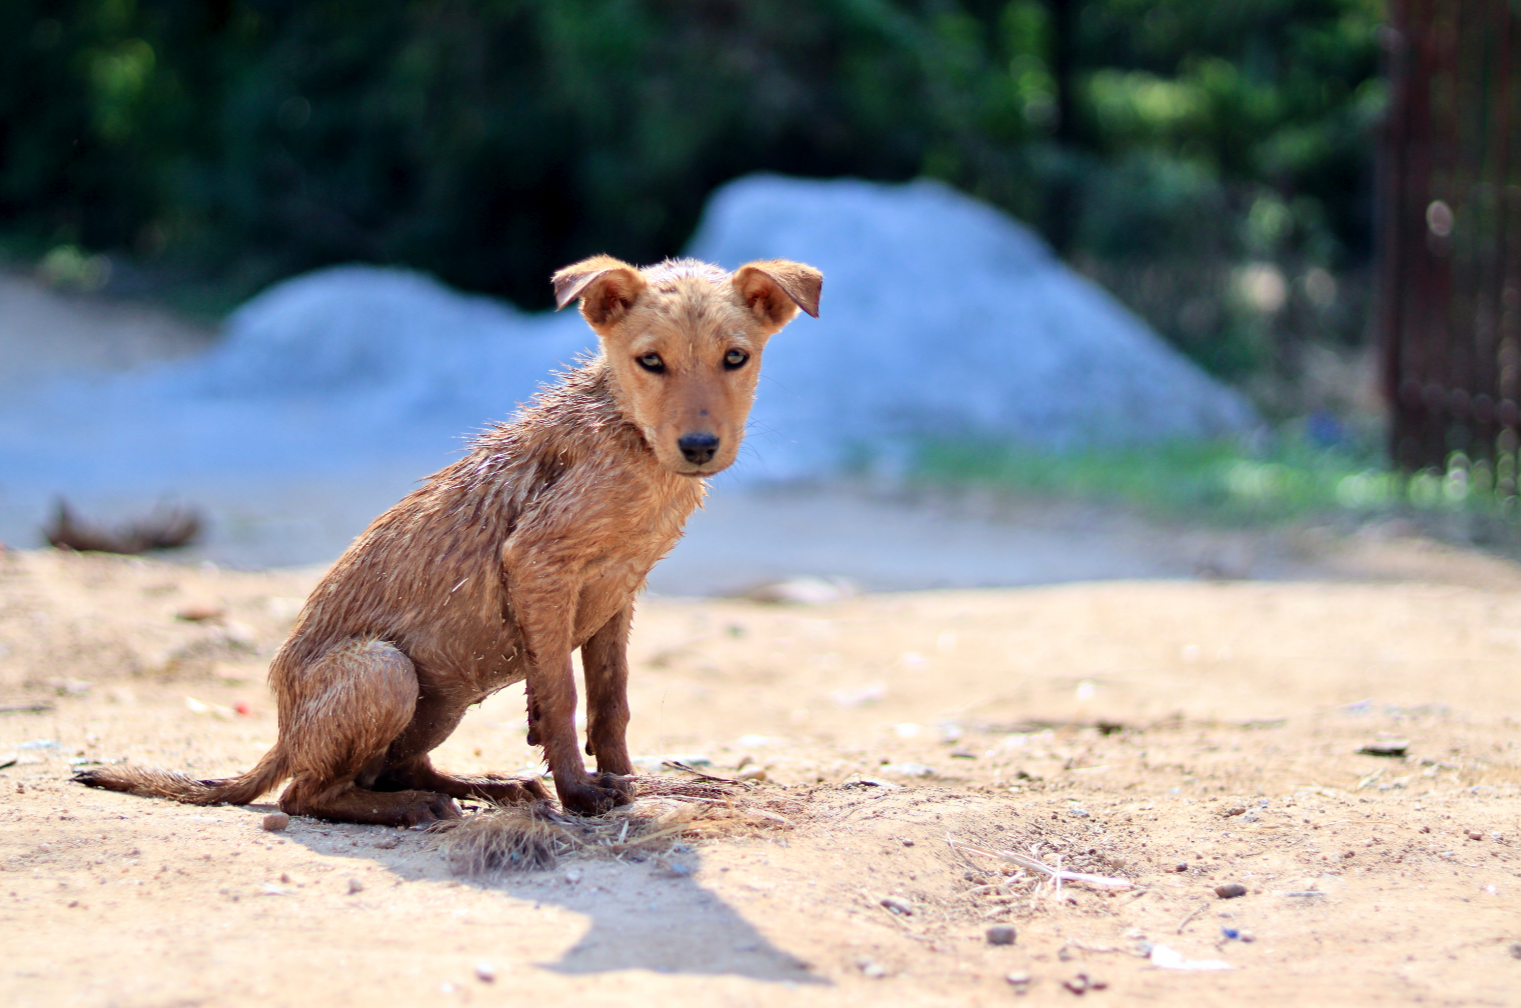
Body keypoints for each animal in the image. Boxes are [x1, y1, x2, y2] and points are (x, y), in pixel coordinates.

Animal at [74, 256, 821, 827]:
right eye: (651, 361)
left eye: (735, 358)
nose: (698, 446)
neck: (629, 438)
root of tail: (284, 734)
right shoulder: (539, 563)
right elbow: (561, 697)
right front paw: (580, 795)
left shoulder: (618, 593)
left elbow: (611, 702)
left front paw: (627, 783)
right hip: (385, 670)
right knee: (306, 794)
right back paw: (414, 809)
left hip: (442, 700)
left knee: (393, 767)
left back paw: (484, 787)